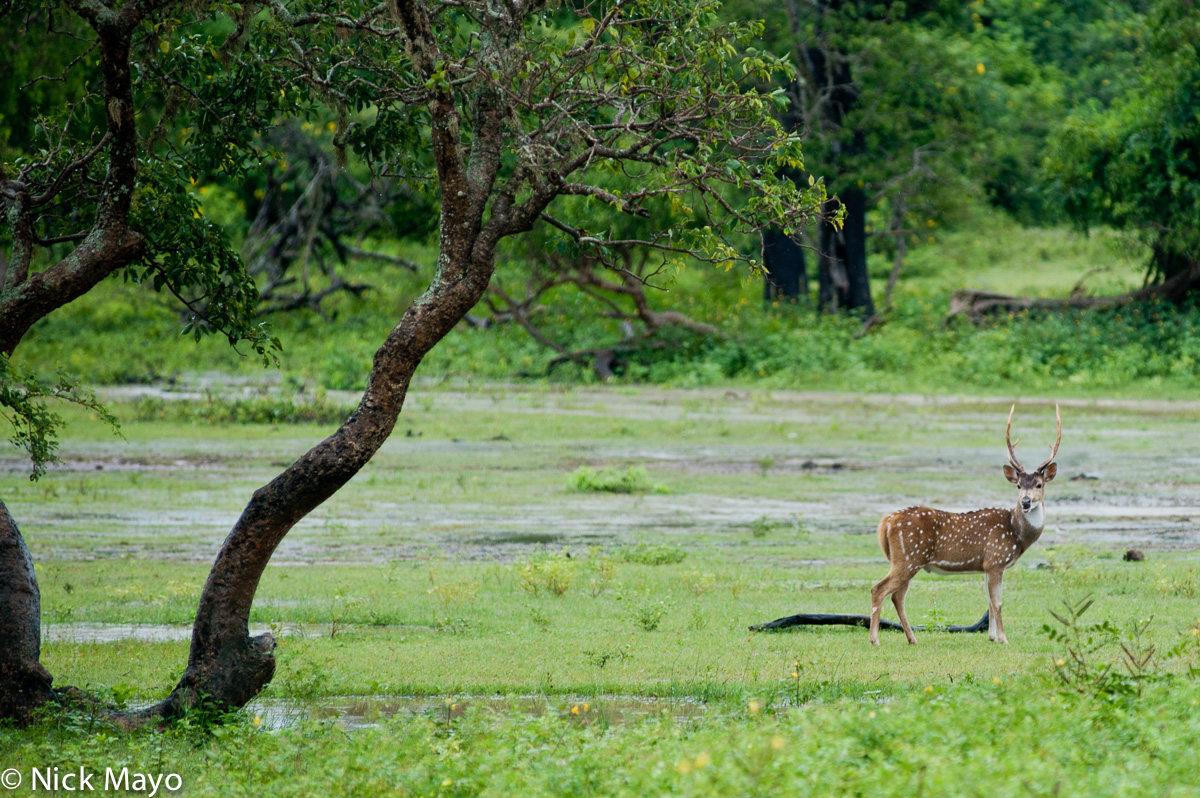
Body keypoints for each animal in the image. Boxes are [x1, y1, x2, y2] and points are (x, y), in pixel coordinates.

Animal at [873, 408, 1060, 643]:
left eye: (1039, 484)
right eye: (1018, 485)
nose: (1026, 502)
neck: (1016, 535)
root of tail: (885, 522)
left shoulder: (987, 565)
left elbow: (988, 601)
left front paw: (992, 637)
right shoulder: (997, 559)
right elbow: (997, 602)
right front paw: (1003, 638)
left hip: (903, 560)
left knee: (897, 596)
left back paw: (912, 639)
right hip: (908, 558)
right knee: (879, 589)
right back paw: (875, 640)